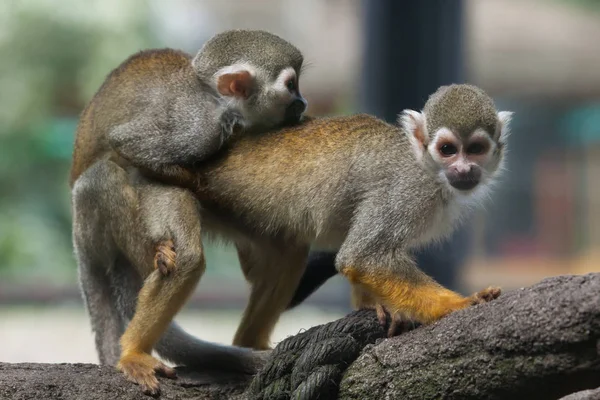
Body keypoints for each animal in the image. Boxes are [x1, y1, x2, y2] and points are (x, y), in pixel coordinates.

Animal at [68, 29, 308, 396]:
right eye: (291, 85)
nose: (303, 103)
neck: (218, 103)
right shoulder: (196, 129)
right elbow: (130, 146)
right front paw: (197, 183)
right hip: (88, 221)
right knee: (105, 176)